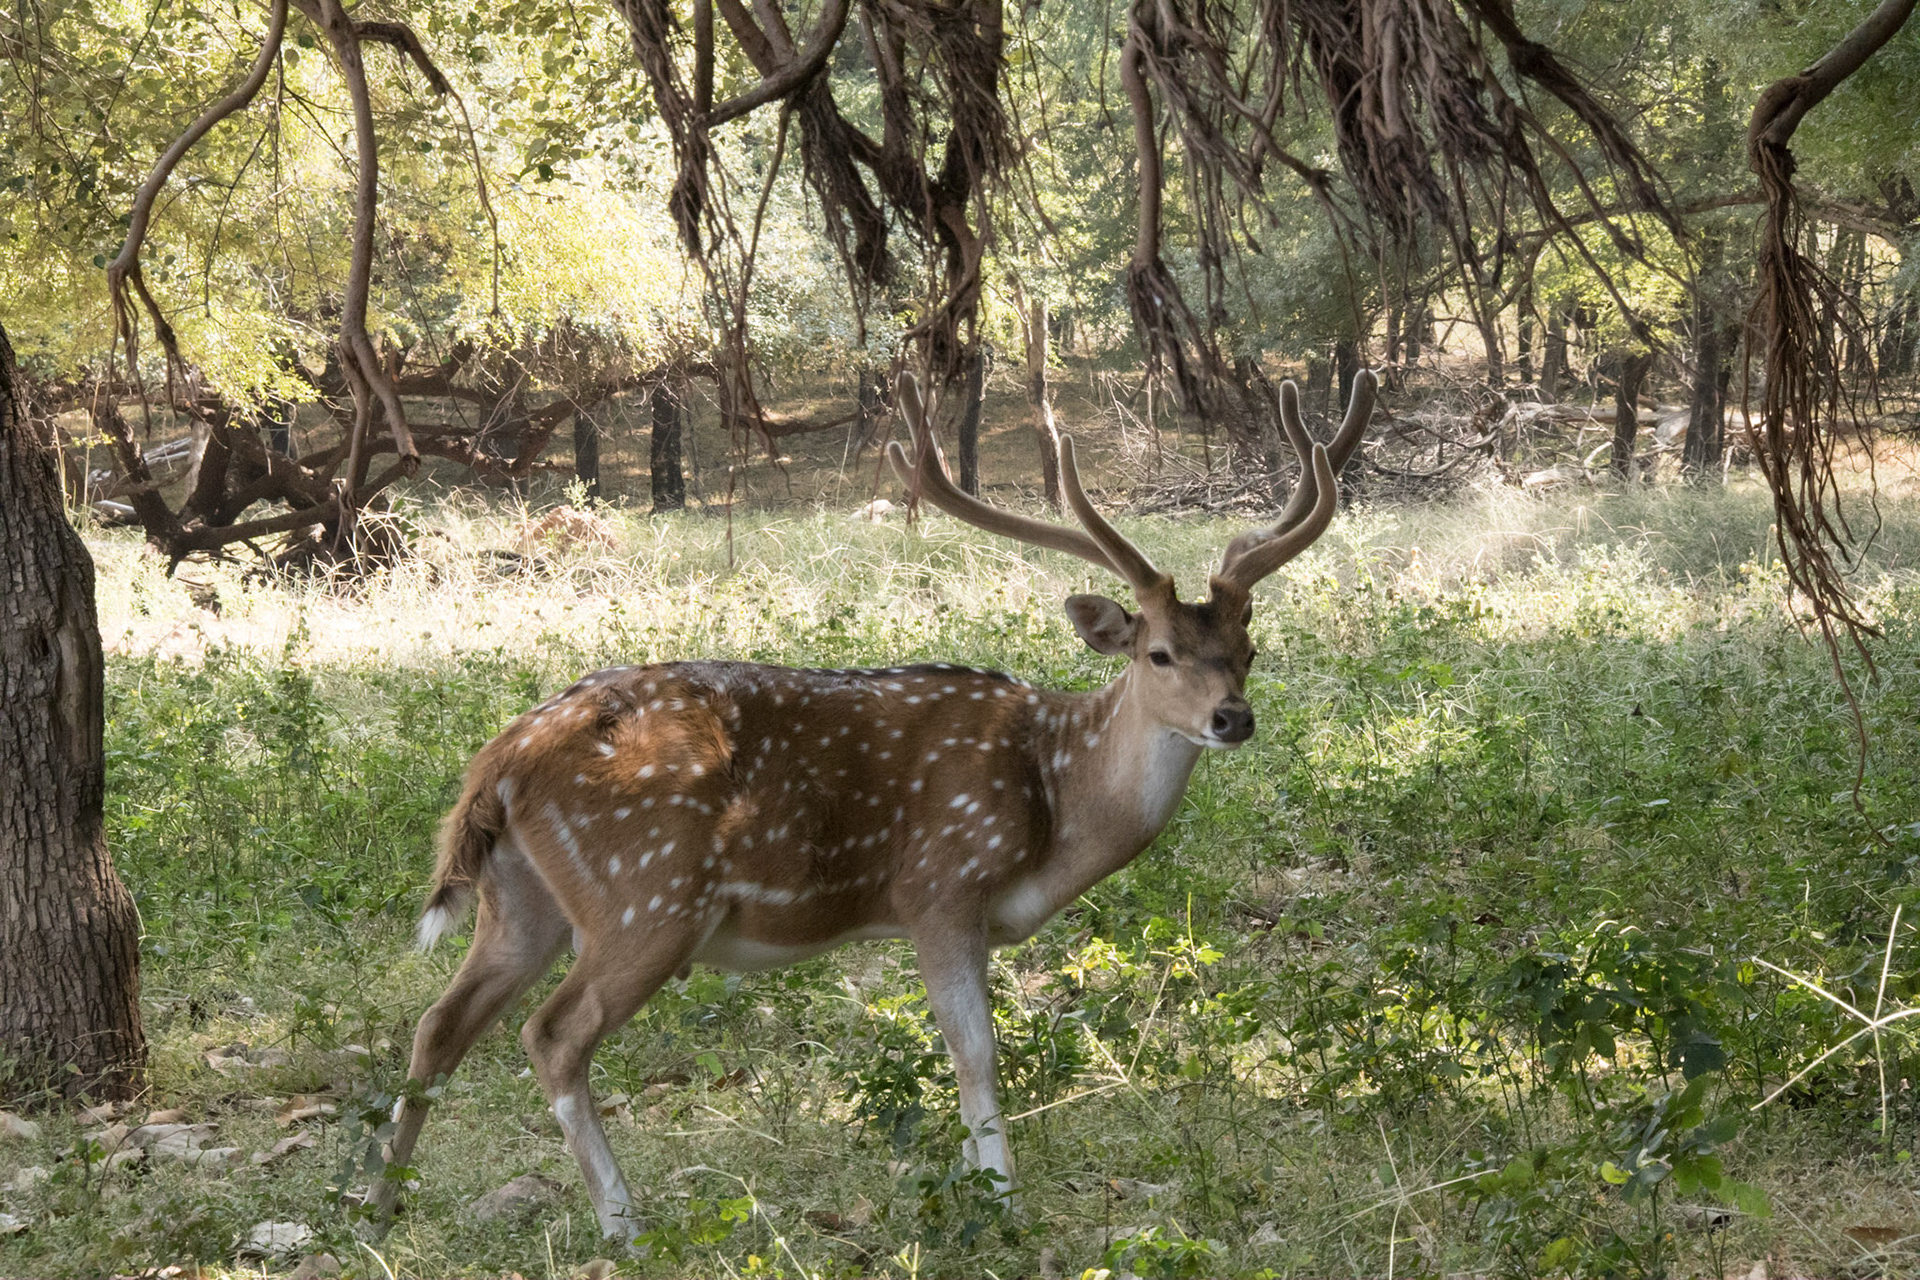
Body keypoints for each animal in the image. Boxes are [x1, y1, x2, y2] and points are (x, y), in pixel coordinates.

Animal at [368, 368, 1377, 1243]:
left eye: (1248, 651)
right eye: (1158, 653)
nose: (1232, 718)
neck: (1054, 802)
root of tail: (501, 757)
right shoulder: (941, 886)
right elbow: (977, 1053)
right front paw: (1001, 1202)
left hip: (523, 899)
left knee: (438, 1023)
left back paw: (379, 1204)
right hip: (646, 894)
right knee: (551, 1034)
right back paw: (622, 1223)